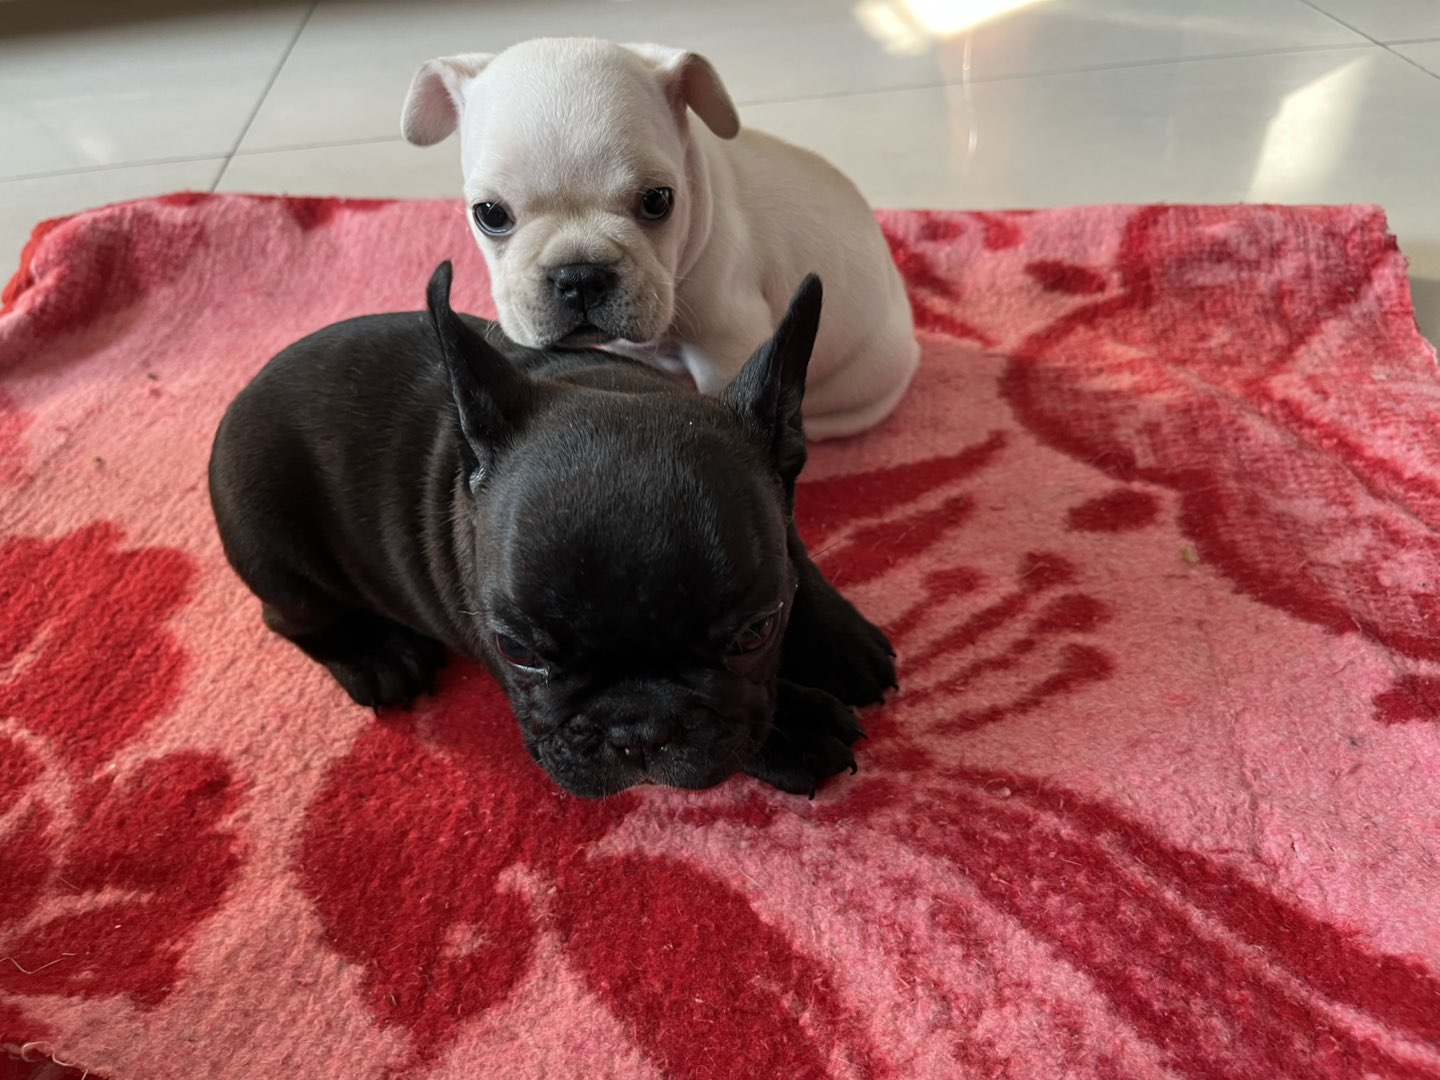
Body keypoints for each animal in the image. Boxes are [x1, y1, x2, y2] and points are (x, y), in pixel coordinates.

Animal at [208, 264, 897, 798]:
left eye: (755, 633)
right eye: (518, 651)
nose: (638, 730)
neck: (610, 384)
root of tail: (244, 393)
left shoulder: (780, 513)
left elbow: (800, 565)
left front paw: (842, 643)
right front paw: (799, 730)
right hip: (278, 553)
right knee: (292, 618)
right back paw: (376, 656)